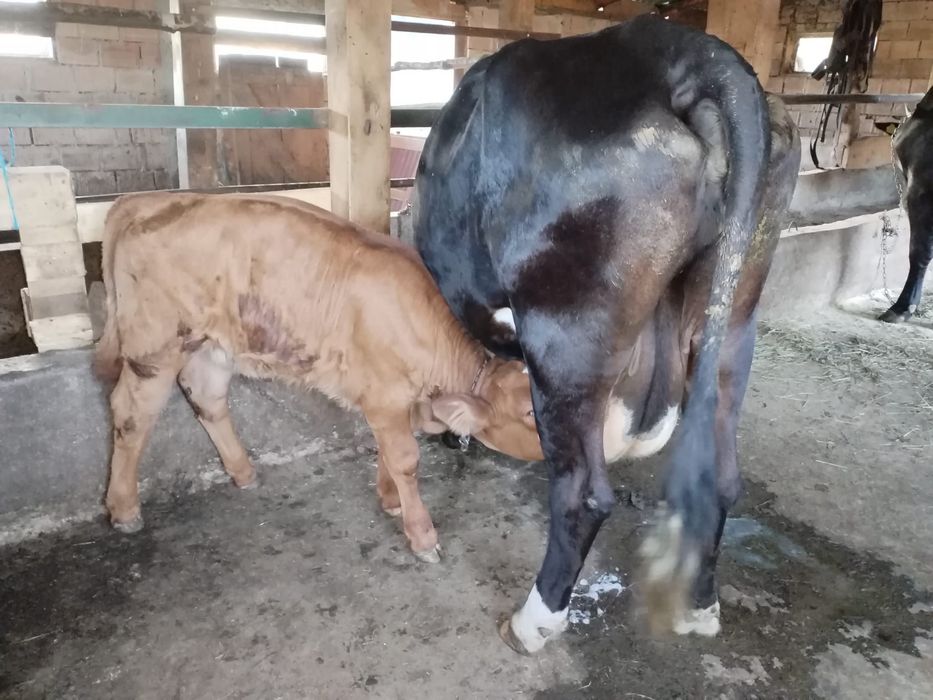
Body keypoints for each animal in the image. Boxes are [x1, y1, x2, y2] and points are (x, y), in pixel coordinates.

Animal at [94, 193, 542, 562]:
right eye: (529, 413)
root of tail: (143, 201)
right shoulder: (386, 396)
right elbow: (405, 459)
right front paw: (421, 535)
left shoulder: (394, 404)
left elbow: (388, 454)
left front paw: (389, 500)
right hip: (154, 346)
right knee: (131, 414)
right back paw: (124, 508)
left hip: (212, 344)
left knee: (206, 397)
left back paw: (243, 472)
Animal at [413, 15, 800, 653]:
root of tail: (682, 49)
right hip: (736, 317)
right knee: (720, 477)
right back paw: (701, 607)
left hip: (567, 334)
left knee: (583, 495)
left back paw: (533, 621)